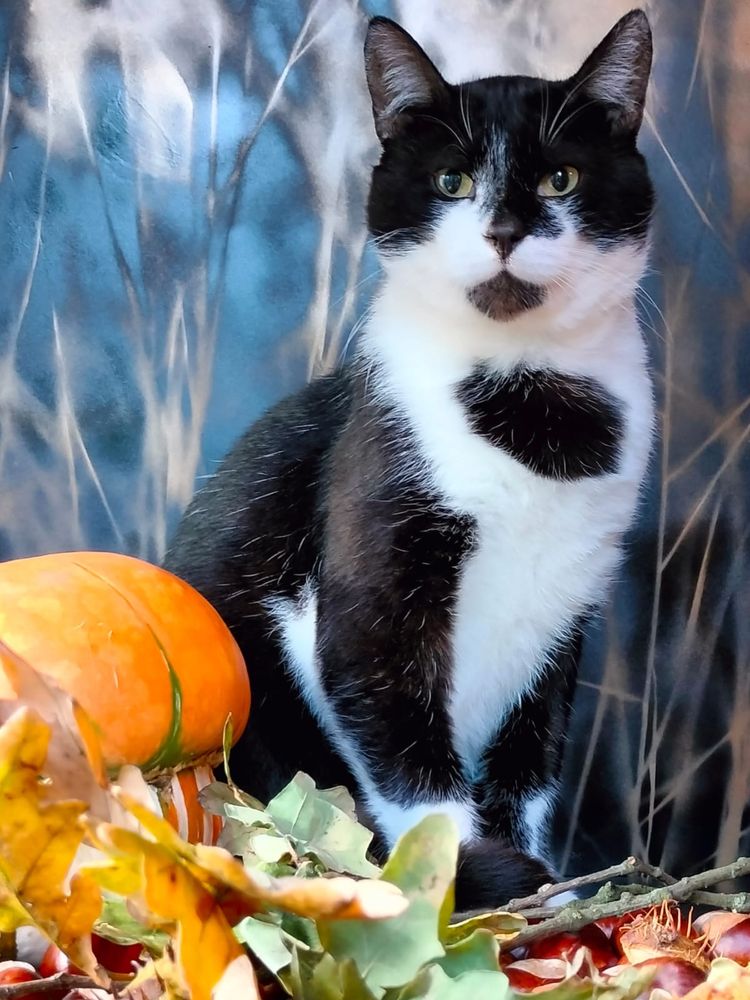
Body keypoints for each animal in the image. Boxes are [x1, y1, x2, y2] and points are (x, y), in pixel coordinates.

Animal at [162, 9, 656, 916]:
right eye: (452, 182)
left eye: (561, 179)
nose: (504, 231)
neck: (532, 406)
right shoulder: (370, 599)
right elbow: (412, 768)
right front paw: (458, 884)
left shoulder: (566, 614)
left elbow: (528, 769)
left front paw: (547, 897)